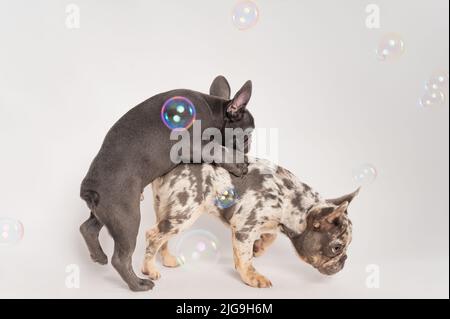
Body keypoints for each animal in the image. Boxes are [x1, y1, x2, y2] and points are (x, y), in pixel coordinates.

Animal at [79, 76, 255, 292]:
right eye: (247, 137)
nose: (248, 148)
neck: (215, 111)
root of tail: (89, 188)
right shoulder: (196, 145)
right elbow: (218, 150)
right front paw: (238, 164)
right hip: (127, 217)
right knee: (121, 259)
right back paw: (138, 284)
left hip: (110, 214)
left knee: (88, 228)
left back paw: (98, 256)